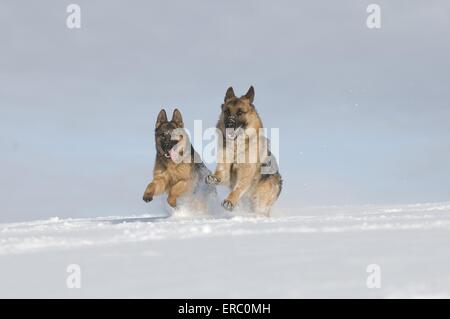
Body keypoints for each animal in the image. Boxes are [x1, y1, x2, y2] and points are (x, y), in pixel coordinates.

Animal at [207, 86, 282, 216]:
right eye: (227, 111)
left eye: (240, 112)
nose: (229, 124)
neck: (237, 148)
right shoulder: (225, 167)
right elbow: (220, 173)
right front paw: (214, 178)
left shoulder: (246, 173)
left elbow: (238, 188)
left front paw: (229, 201)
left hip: (260, 199)